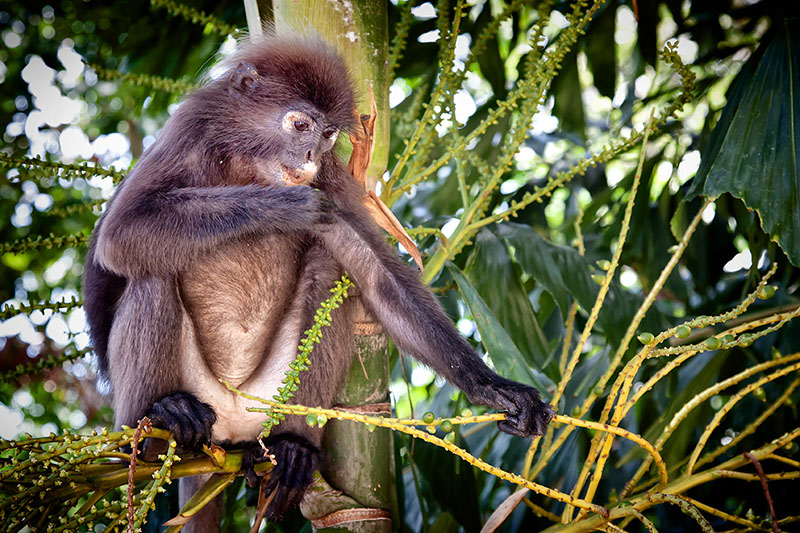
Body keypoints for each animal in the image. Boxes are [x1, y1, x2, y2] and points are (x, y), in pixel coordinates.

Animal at [83, 36, 556, 528]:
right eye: (300, 125)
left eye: (327, 135)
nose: (310, 157)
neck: (249, 163)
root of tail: (225, 437)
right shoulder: (191, 130)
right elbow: (120, 235)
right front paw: (284, 206)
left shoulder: (334, 179)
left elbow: (376, 275)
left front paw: (494, 388)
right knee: (150, 272)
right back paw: (162, 416)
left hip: (269, 406)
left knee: (328, 268)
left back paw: (293, 448)